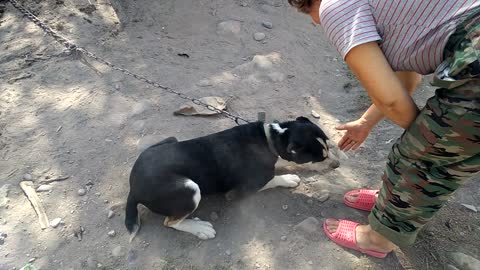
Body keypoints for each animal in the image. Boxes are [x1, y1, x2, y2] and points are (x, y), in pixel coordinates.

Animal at [124, 116, 338, 240]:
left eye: (328, 146)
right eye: (320, 157)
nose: (336, 165)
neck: (270, 139)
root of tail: (133, 188)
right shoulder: (241, 190)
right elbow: (272, 179)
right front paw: (289, 178)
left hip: (170, 140)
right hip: (190, 189)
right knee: (170, 222)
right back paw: (200, 228)